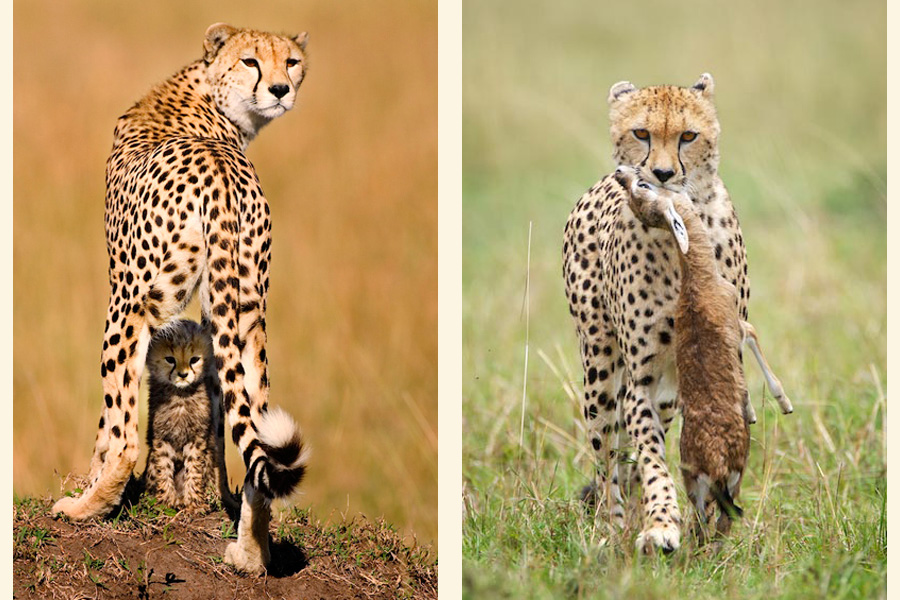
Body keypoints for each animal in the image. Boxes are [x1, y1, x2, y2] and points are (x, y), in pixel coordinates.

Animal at [142, 318, 230, 510]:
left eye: (194, 359)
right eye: (170, 359)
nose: (183, 374)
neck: (180, 395)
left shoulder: (197, 438)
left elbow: (194, 469)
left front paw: (194, 503)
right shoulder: (161, 437)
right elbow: (163, 468)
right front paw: (165, 501)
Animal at [564, 71, 752, 552]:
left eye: (688, 136)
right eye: (641, 133)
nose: (662, 174)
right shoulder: (642, 380)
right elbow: (650, 458)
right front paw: (662, 522)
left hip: (671, 389)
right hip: (599, 371)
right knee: (607, 456)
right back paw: (611, 527)